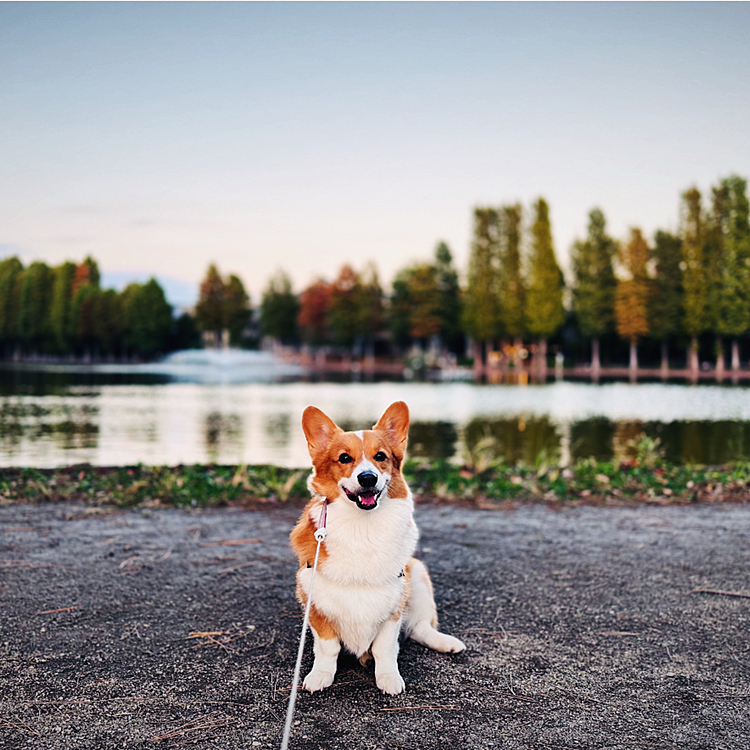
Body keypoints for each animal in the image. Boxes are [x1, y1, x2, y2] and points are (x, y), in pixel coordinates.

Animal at [292, 402, 464, 696]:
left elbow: (385, 648)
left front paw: (388, 678)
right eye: (344, 458)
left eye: (380, 456)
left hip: (418, 576)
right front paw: (321, 675)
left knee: (419, 627)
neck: (363, 527)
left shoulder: (394, 606)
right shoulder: (315, 603)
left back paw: (446, 643)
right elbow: (327, 648)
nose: (368, 478)